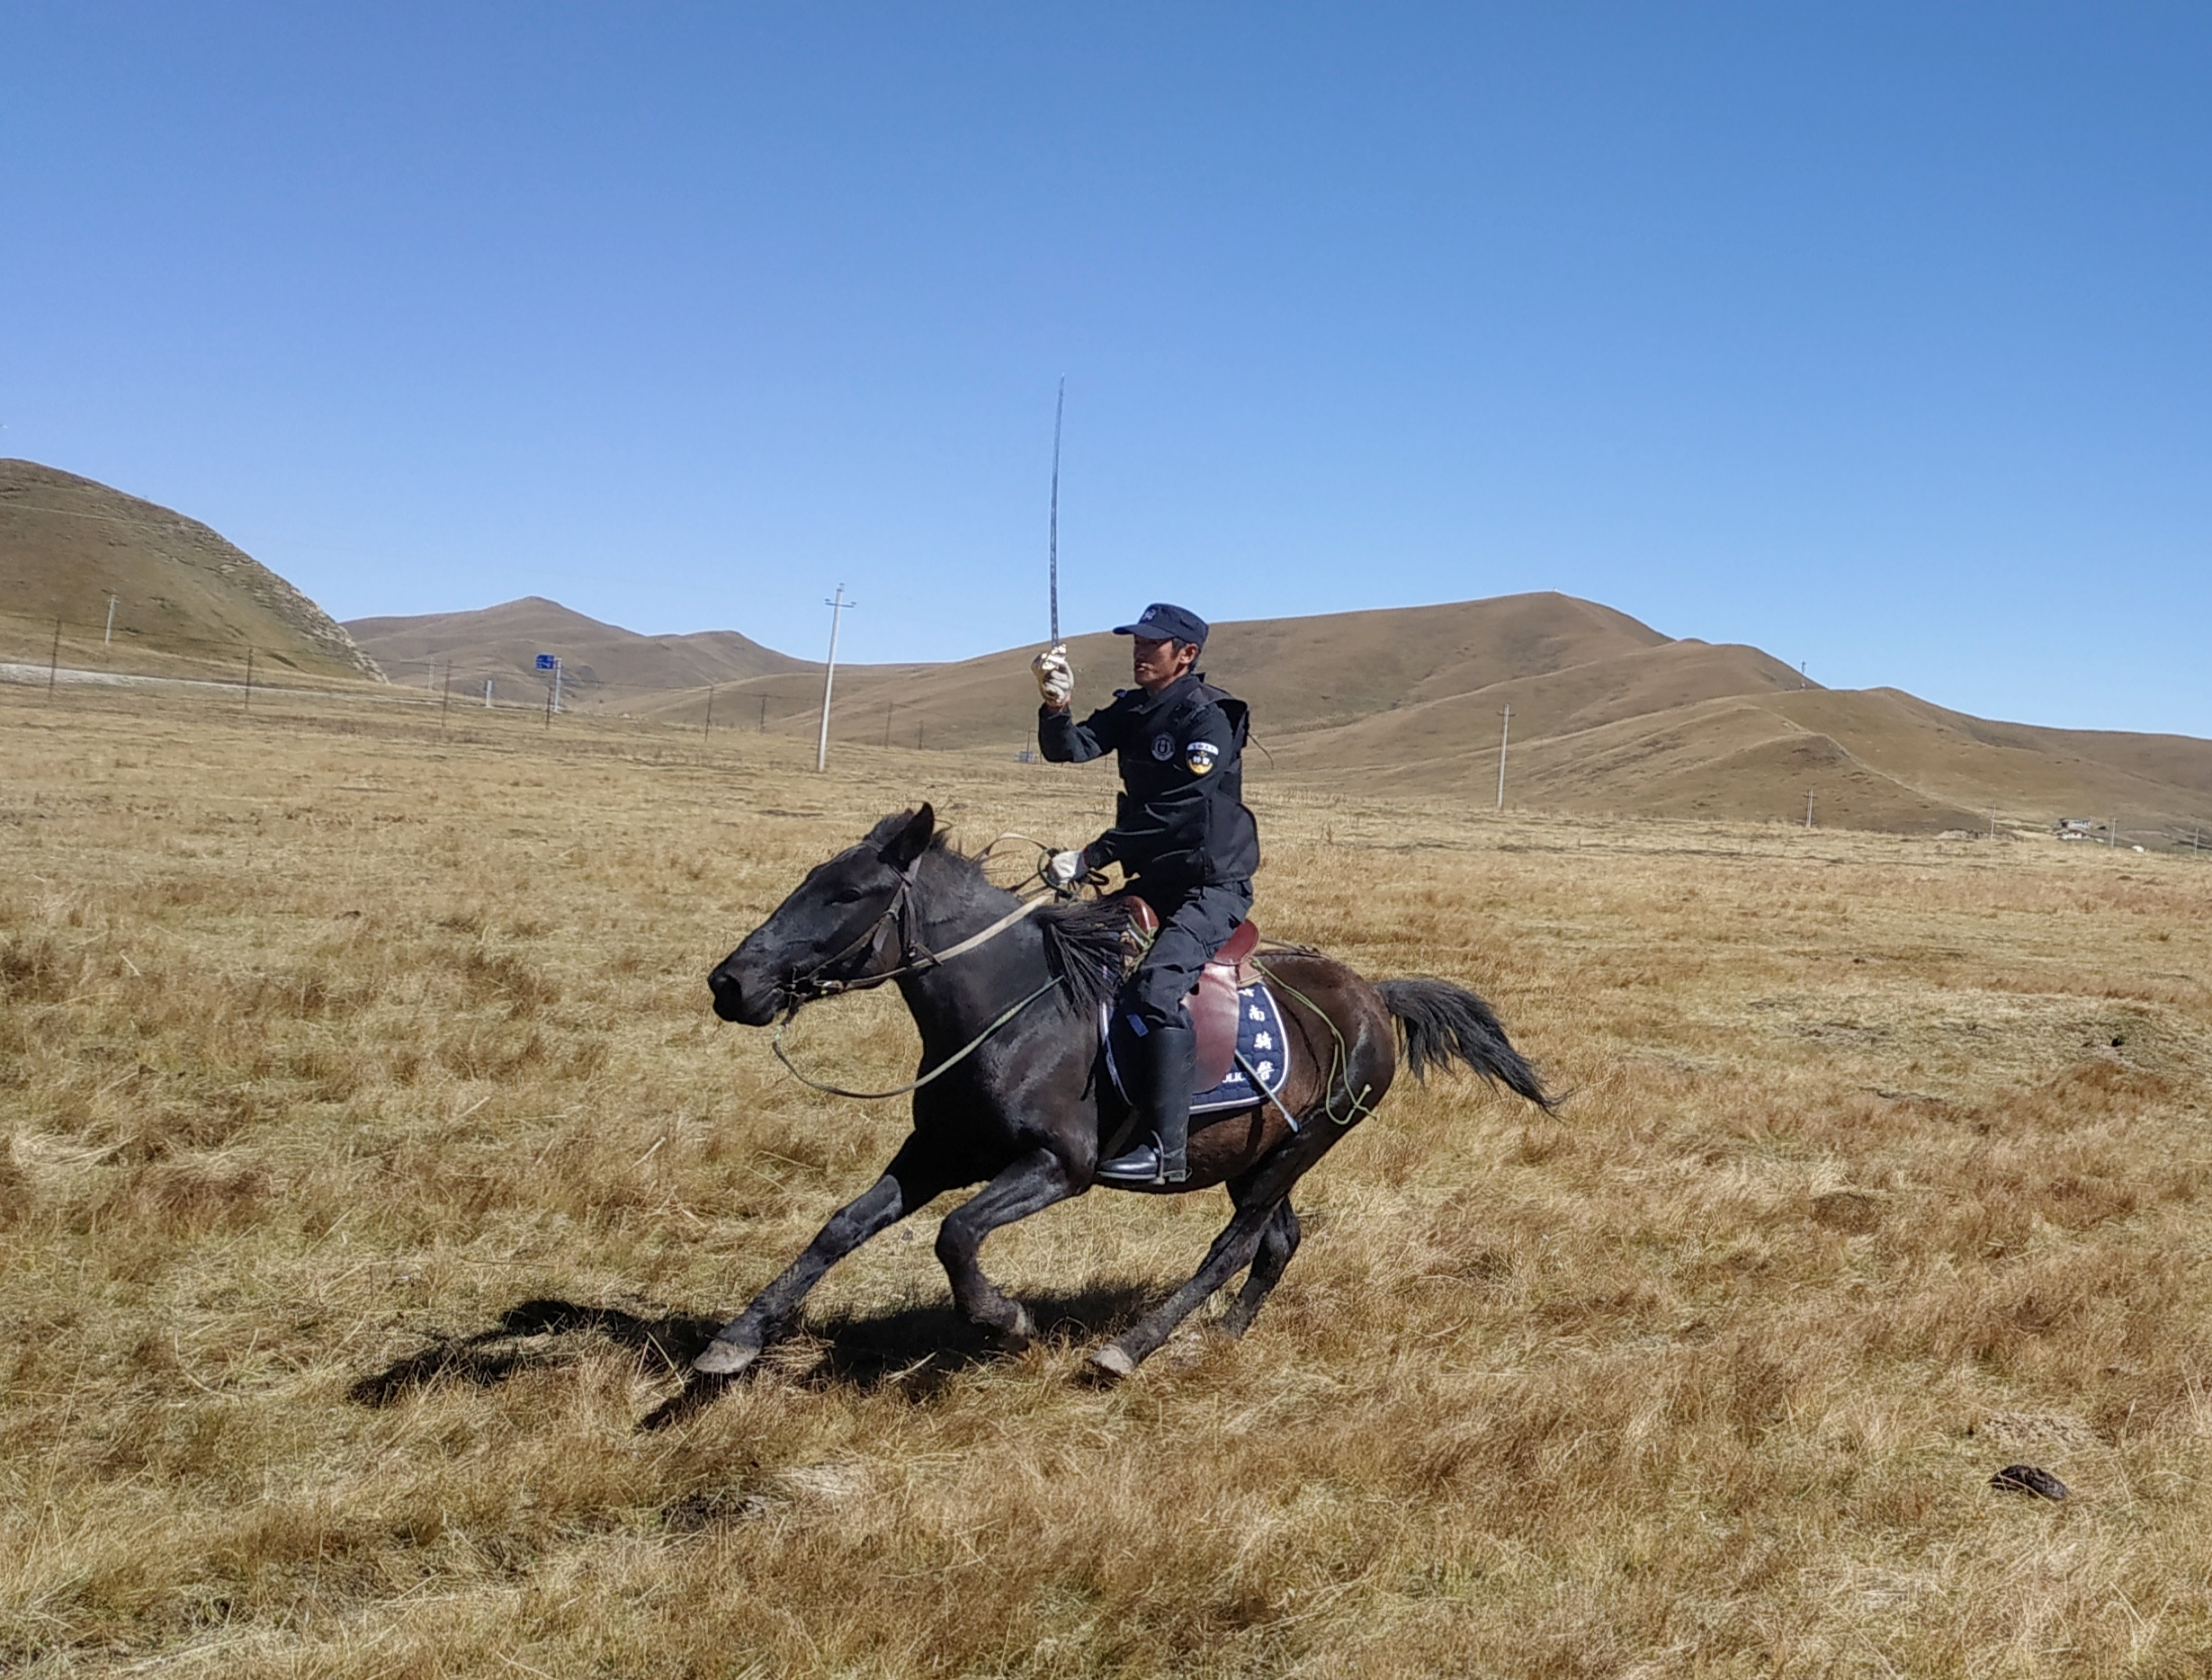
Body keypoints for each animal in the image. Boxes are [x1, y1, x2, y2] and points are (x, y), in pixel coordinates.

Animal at [699, 809, 1548, 1388]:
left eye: (848, 892)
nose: (730, 983)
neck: (1018, 1008)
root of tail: (1374, 994)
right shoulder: (937, 1153)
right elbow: (840, 1228)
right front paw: (735, 1340)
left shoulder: (1058, 1166)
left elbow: (956, 1235)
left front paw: (1005, 1319)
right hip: (1258, 1155)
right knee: (1278, 1241)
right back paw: (1222, 1337)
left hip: (1299, 1148)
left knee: (1232, 1247)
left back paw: (1129, 1348)